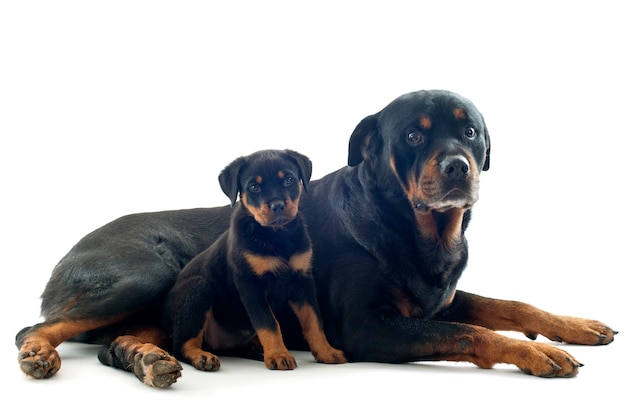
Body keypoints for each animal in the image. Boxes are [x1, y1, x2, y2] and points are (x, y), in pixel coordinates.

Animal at [161, 150, 346, 372]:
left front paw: (326, 352)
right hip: (197, 289)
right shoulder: (250, 285)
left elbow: (314, 321)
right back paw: (203, 357)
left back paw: (255, 351)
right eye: (254, 187)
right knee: (182, 344)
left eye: (289, 180)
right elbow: (268, 323)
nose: (278, 206)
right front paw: (279, 355)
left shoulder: (302, 281)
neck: (276, 236)